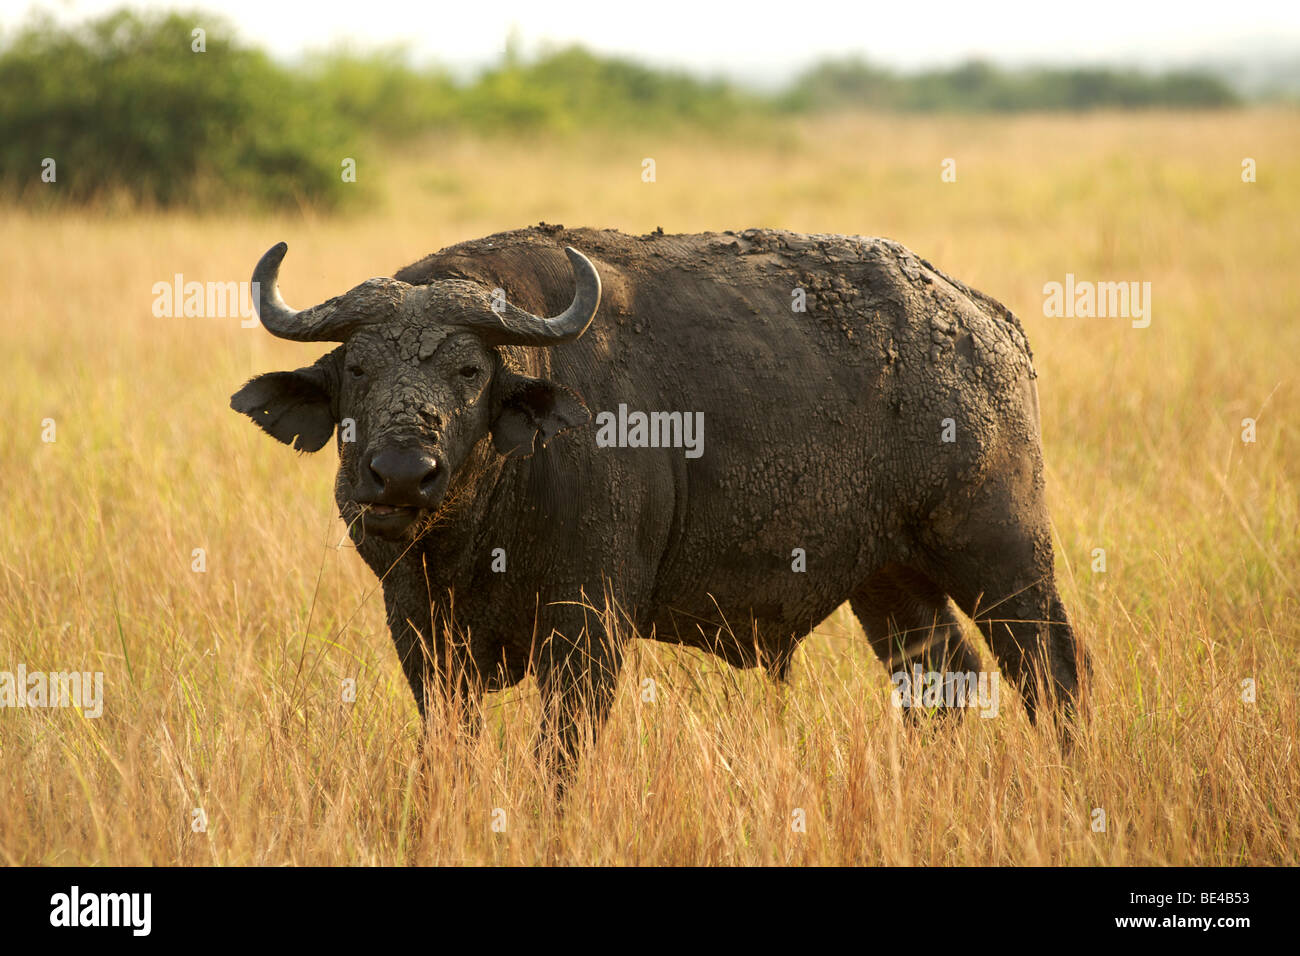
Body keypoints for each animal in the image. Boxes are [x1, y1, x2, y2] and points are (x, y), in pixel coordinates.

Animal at [233, 227, 1086, 780]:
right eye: (358, 369)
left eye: (470, 371)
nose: (403, 474)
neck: (478, 524)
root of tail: (986, 321)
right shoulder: (416, 626)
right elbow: (450, 744)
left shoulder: (588, 624)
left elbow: (560, 756)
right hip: (888, 581)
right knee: (944, 682)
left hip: (1001, 552)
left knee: (1052, 670)